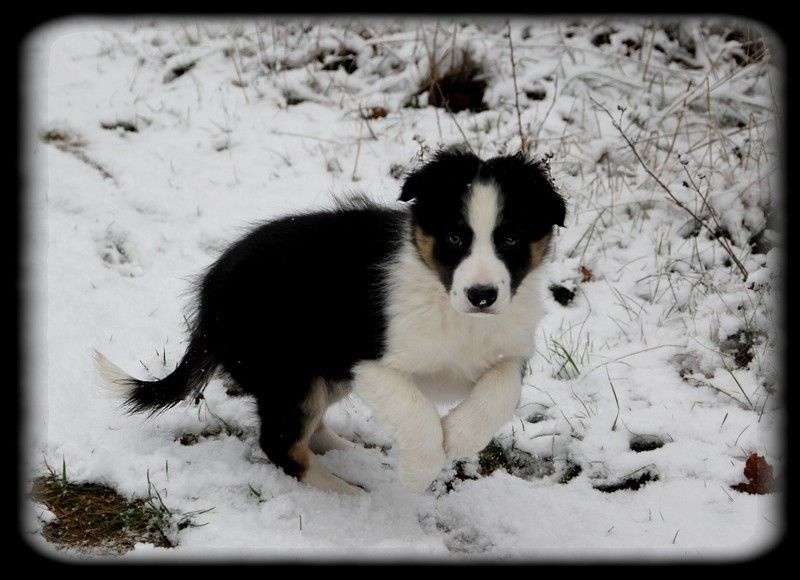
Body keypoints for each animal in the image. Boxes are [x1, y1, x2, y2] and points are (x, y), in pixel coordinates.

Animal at [94, 146, 564, 494]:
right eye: (454, 238)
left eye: (510, 240)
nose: (481, 295)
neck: (447, 300)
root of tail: (209, 302)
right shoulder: (368, 360)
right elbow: (415, 411)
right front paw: (420, 469)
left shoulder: (510, 348)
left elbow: (500, 391)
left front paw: (459, 435)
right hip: (289, 372)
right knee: (282, 444)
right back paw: (346, 492)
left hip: (322, 373)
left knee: (310, 429)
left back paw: (355, 453)